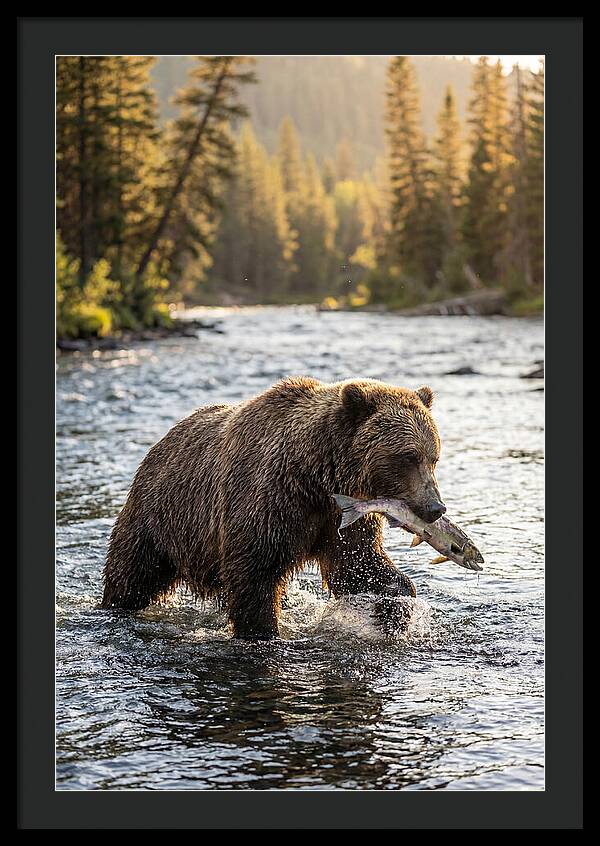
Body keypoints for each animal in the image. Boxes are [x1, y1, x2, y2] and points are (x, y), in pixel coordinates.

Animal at [101, 377, 446, 639]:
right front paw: (262, 631)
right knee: (132, 573)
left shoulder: (341, 516)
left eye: (433, 457)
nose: (435, 507)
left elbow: (359, 564)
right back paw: (114, 606)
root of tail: (160, 442)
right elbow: (254, 574)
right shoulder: (269, 501)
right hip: (160, 517)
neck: (316, 476)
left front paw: (396, 606)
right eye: (408, 456)